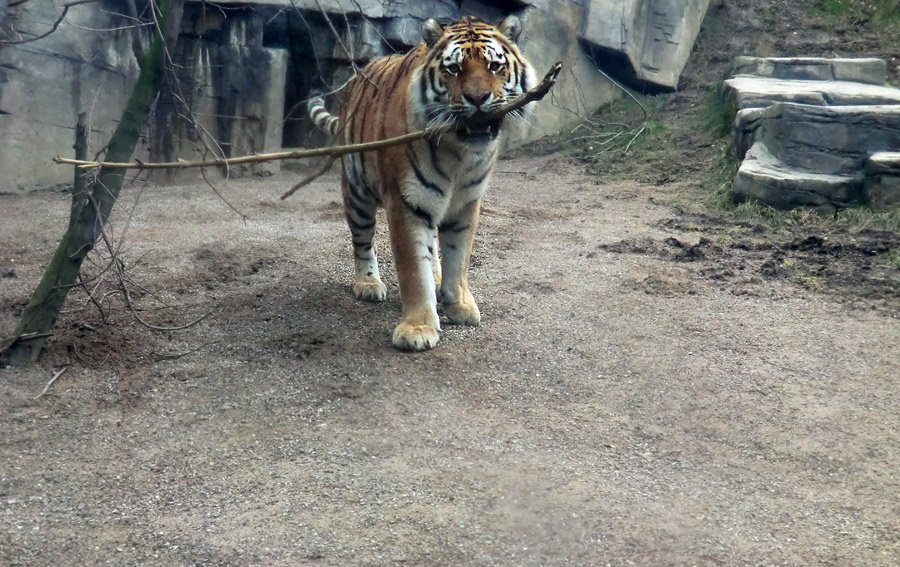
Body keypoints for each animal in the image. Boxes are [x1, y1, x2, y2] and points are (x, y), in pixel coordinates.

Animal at [306, 14, 536, 350]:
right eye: (454, 69)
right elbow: (414, 270)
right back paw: (367, 282)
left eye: (495, 66)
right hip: (357, 193)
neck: (459, 152)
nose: (478, 99)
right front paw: (417, 328)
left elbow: (457, 257)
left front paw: (459, 303)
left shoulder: (466, 203)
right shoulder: (406, 203)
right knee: (362, 240)